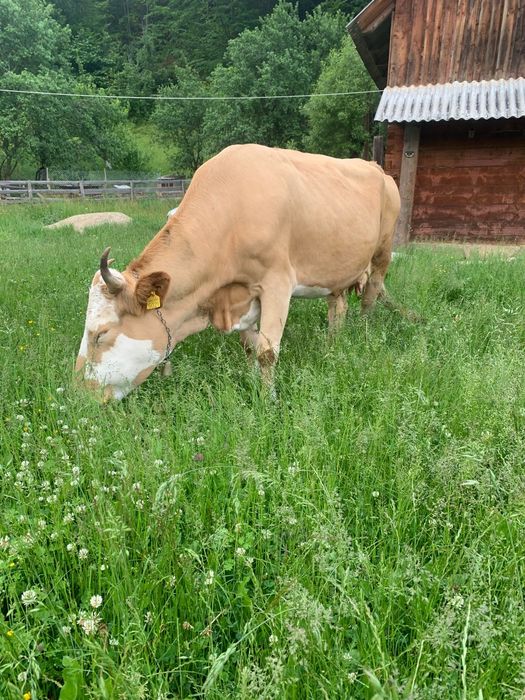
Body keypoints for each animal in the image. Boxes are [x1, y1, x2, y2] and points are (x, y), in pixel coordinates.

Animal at [75, 144, 400, 400]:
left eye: (101, 334)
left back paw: (363, 332)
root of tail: (376, 167)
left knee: (370, 294)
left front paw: (268, 400)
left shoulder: (277, 283)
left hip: (383, 251)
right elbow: (249, 345)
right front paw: (252, 380)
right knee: (338, 305)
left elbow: (267, 352)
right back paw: (333, 344)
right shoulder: (241, 294)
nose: (80, 394)